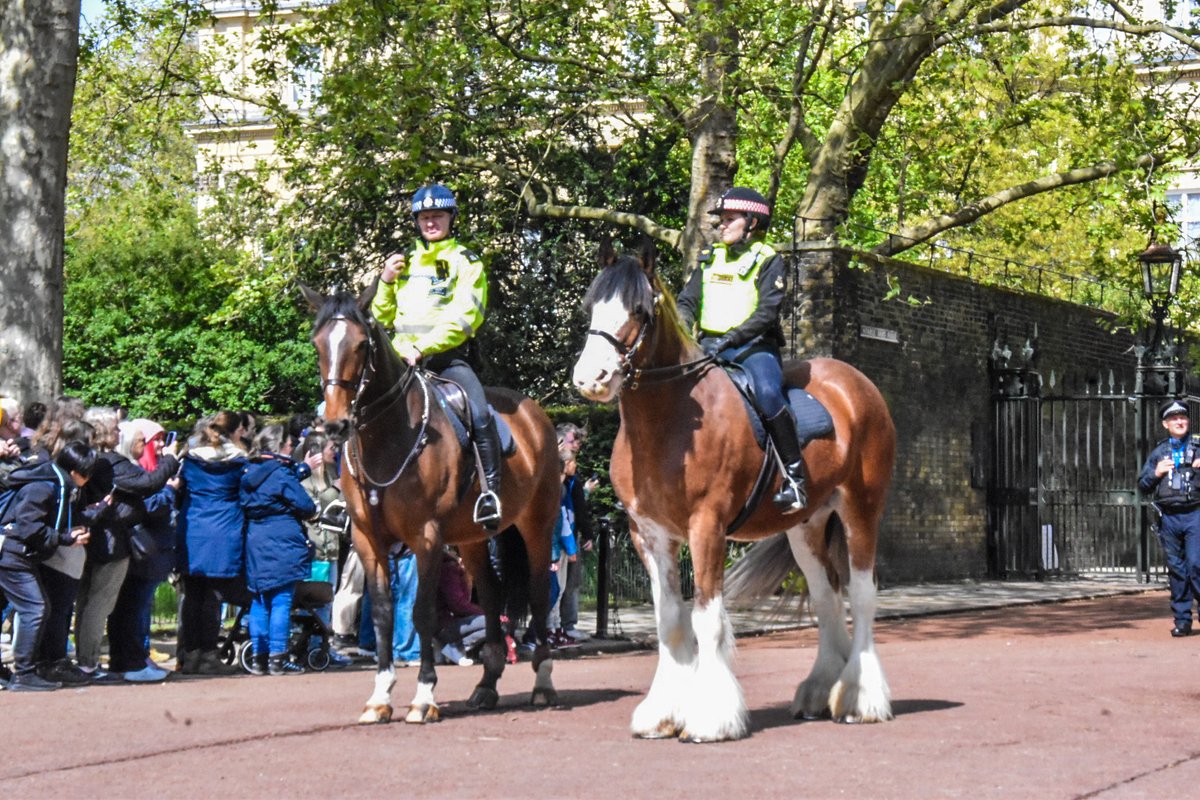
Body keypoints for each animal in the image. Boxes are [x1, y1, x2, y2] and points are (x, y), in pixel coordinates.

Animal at [300, 283, 561, 724]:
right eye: (318, 343)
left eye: (360, 344)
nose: (335, 424)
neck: (389, 438)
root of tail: (534, 412)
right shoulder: (369, 540)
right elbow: (384, 612)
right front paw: (380, 696)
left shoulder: (426, 538)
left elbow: (422, 612)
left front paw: (424, 697)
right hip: (472, 540)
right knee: (491, 595)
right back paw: (486, 686)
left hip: (537, 527)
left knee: (540, 594)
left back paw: (543, 683)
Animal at [568, 247, 892, 743]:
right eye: (592, 306)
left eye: (639, 311)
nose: (592, 378)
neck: (668, 423)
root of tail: (856, 383)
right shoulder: (650, 535)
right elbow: (670, 621)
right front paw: (662, 713)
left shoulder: (707, 528)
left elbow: (706, 619)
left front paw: (710, 718)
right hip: (808, 528)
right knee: (827, 596)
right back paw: (820, 690)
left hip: (861, 511)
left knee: (860, 593)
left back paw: (861, 698)